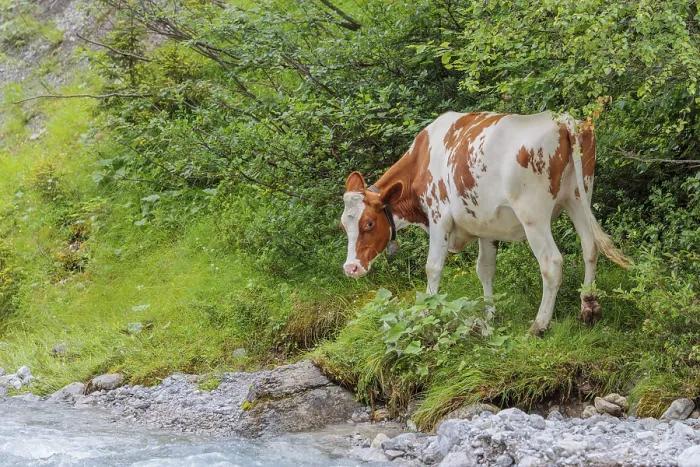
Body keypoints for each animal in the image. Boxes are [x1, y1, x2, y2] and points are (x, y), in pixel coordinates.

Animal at [340, 111, 630, 335]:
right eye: (343, 226)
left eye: (369, 223)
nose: (350, 267)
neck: (422, 160)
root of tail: (562, 120)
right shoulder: (487, 226)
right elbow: (485, 269)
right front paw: (490, 312)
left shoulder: (438, 218)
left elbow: (433, 267)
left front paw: (427, 312)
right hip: (579, 197)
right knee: (589, 246)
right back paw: (589, 306)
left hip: (533, 214)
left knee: (552, 263)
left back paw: (539, 325)